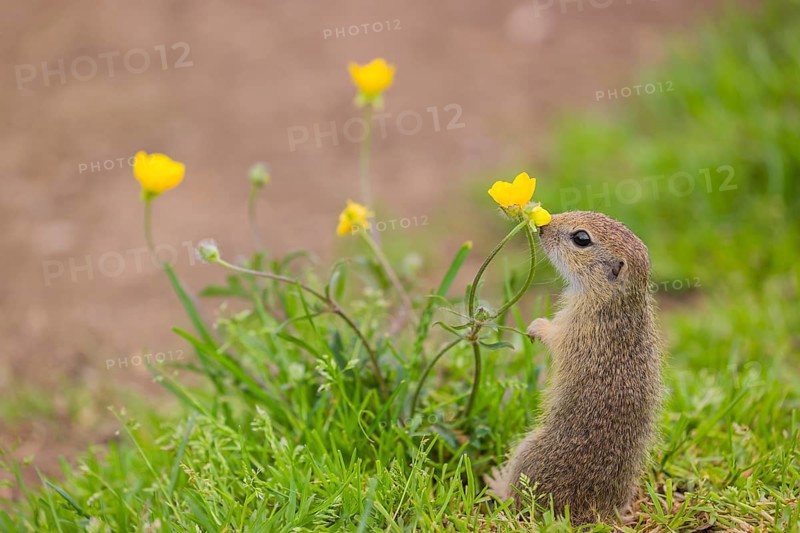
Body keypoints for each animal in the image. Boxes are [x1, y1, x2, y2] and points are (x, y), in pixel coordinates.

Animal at [492, 211, 663, 525]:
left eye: (581, 238)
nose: (543, 227)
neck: (616, 301)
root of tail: (598, 513)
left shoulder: (578, 327)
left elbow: (556, 338)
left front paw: (537, 327)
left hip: (526, 454)